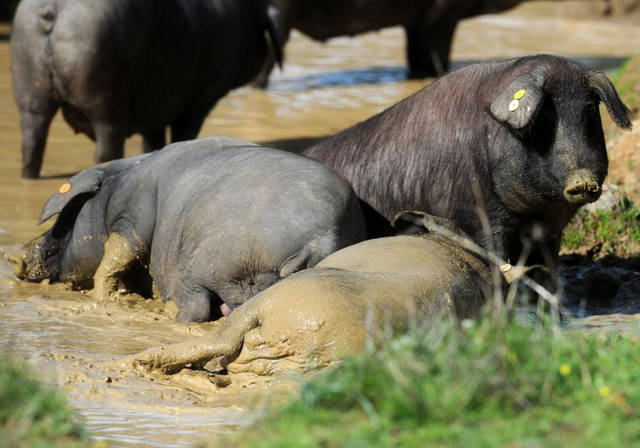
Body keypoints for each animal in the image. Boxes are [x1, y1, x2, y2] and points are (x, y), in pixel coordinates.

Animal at [10, 0, 282, 178]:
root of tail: (52, 10)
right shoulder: (204, 96)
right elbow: (185, 131)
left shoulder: (156, 103)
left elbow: (153, 139)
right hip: (101, 80)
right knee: (105, 145)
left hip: (28, 77)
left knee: (31, 142)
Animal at [10, 136, 368, 322]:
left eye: (67, 218)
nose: (15, 256)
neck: (115, 187)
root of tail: (318, 240)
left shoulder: (132, 216)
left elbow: (117, 254)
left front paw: (103, 297)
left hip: (210, 259)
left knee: (195, 304)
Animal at [302, 54, 632, 274]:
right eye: (544, 119)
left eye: (589, 113)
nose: (583, 181)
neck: (534, 216)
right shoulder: (479, 215)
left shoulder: (551, 234)